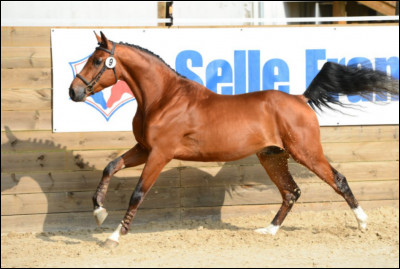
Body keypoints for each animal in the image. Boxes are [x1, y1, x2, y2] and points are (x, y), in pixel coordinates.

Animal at [68, 30, 396, 245]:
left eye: (97, 61)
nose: (74, 91)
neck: (164, 98)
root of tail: (300, 99)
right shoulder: (144, 148)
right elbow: (110, 167)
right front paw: (99, 213)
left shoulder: (160, 153)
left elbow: (138, 193)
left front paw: (114, 235)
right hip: (272, 157)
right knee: (291, 192)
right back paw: (269, 231)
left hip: (307, 152)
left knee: (337, 180)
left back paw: (363, 222)